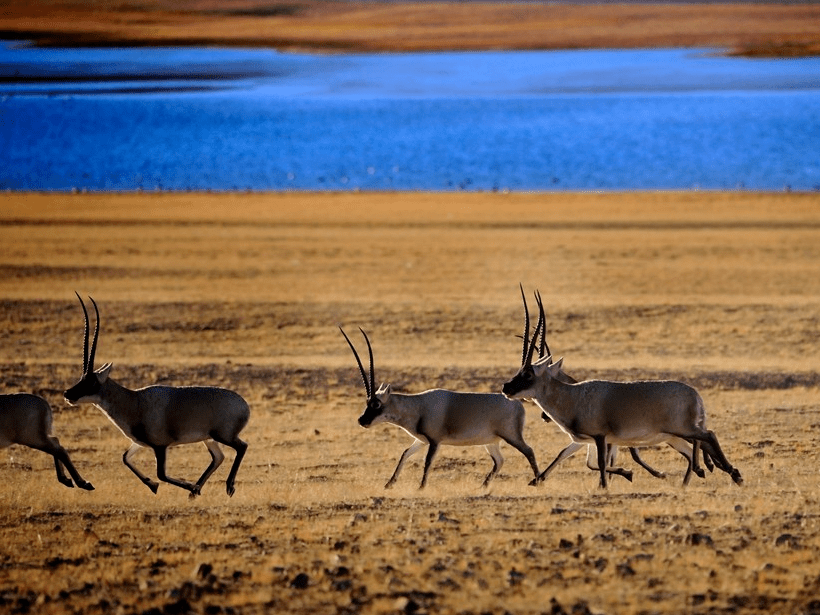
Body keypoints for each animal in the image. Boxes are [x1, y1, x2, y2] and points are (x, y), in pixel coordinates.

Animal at [63, 294, 248, 500]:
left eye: (91, 382)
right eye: (81, 378)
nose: (67, 394)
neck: (134, 401)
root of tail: (244, 405)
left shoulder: (160, 446)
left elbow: (162, 474)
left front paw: (183, 485)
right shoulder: (139, 443)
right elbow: (125, 458)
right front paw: (154, 485)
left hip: (224, 436)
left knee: (241, 447)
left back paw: (225, 487)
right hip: (209, 439)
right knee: (218, 457)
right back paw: (197, 490)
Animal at [338, 328, 540, 490]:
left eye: (376, 404)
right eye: (367, 402)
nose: (362, 420)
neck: (417, 405)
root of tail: (517, 402)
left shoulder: (435, 441)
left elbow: (427, 462)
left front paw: (421, 487)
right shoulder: (421, 440)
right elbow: (405, 454)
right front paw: (389, 484)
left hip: (511, 436)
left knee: (529, 451)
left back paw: (537, 480)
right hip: (491, 442)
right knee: (499, 461)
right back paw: (483, 486)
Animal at [500, 292, 744, 488]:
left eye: (528, 374)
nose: (506, 388)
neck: (573, 396)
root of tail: (694, 394)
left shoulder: (600, 437)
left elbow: (599, 463)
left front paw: (605, 486)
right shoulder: (599, 440)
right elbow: (587, 461)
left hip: (683, 429)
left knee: (709, 436)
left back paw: (731, 474)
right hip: (678, 433)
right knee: (702, 444)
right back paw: (704, 474)